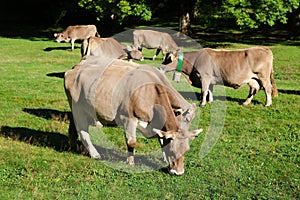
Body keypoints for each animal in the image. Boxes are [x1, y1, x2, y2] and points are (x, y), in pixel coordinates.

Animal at [64, 55, 203, 175]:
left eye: (186, 150)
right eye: (173, 151)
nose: (179, 172)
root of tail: (76, 68)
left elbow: (161, 139)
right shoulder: (127, 118)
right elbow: (131, 142)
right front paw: (130, 162)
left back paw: (73, 144)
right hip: (78, 109)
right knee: (83, 132)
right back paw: (94, 154)